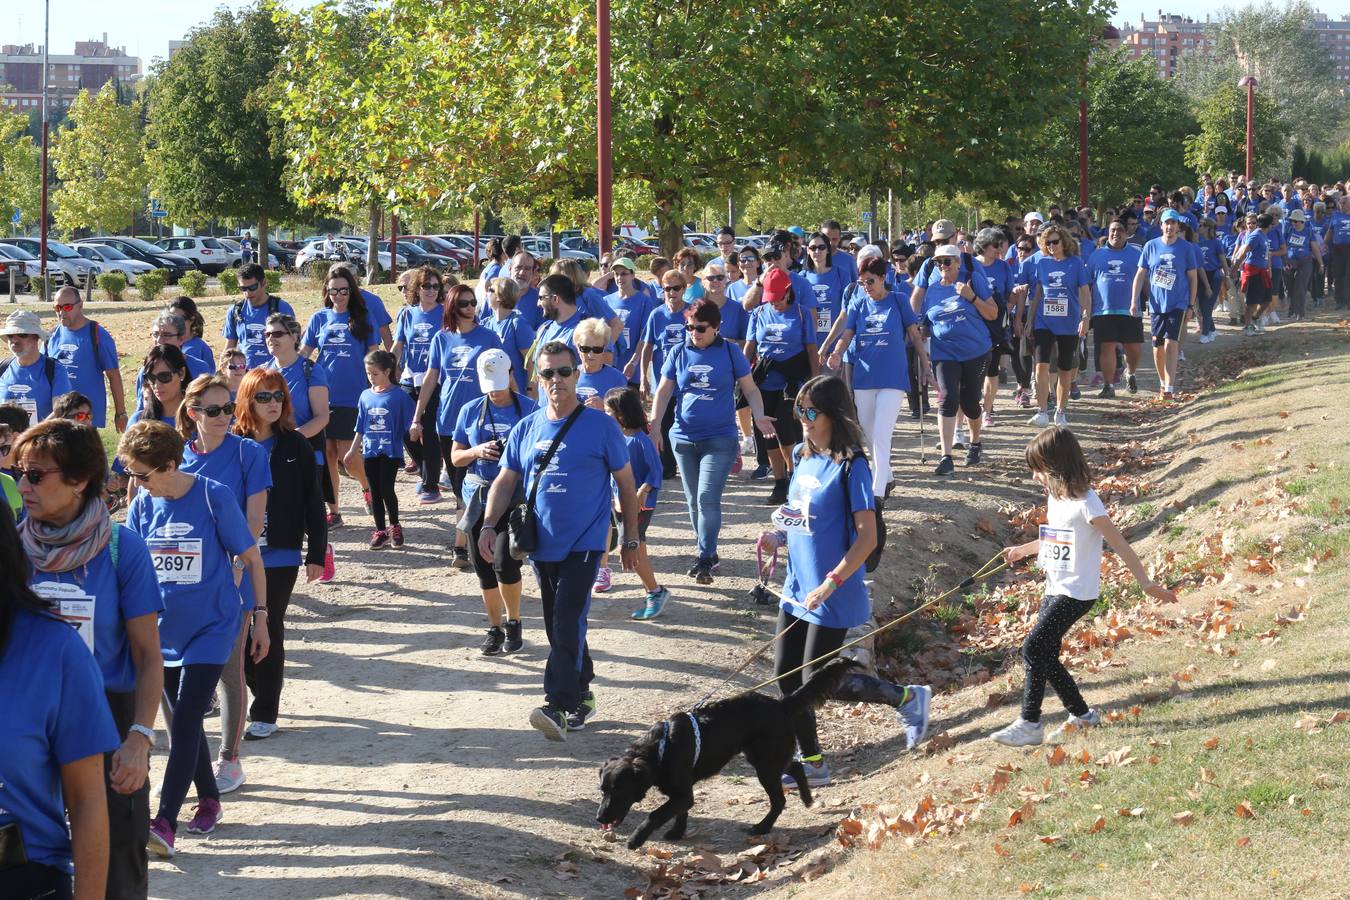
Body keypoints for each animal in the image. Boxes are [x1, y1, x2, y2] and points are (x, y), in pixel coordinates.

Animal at [599, 658, 853, 847]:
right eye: (602, 790)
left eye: (619, 791)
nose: (599, 818)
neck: (660, 750)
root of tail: (781, 704)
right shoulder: (683, 793)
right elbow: (681, 812)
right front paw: (677, 833)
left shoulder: (682, 794)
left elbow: (656, 814)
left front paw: (636, 839)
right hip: (764, 757)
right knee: (796, 766)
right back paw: (807, 798)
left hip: (765, 765)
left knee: (779, 799)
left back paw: (762, 827)